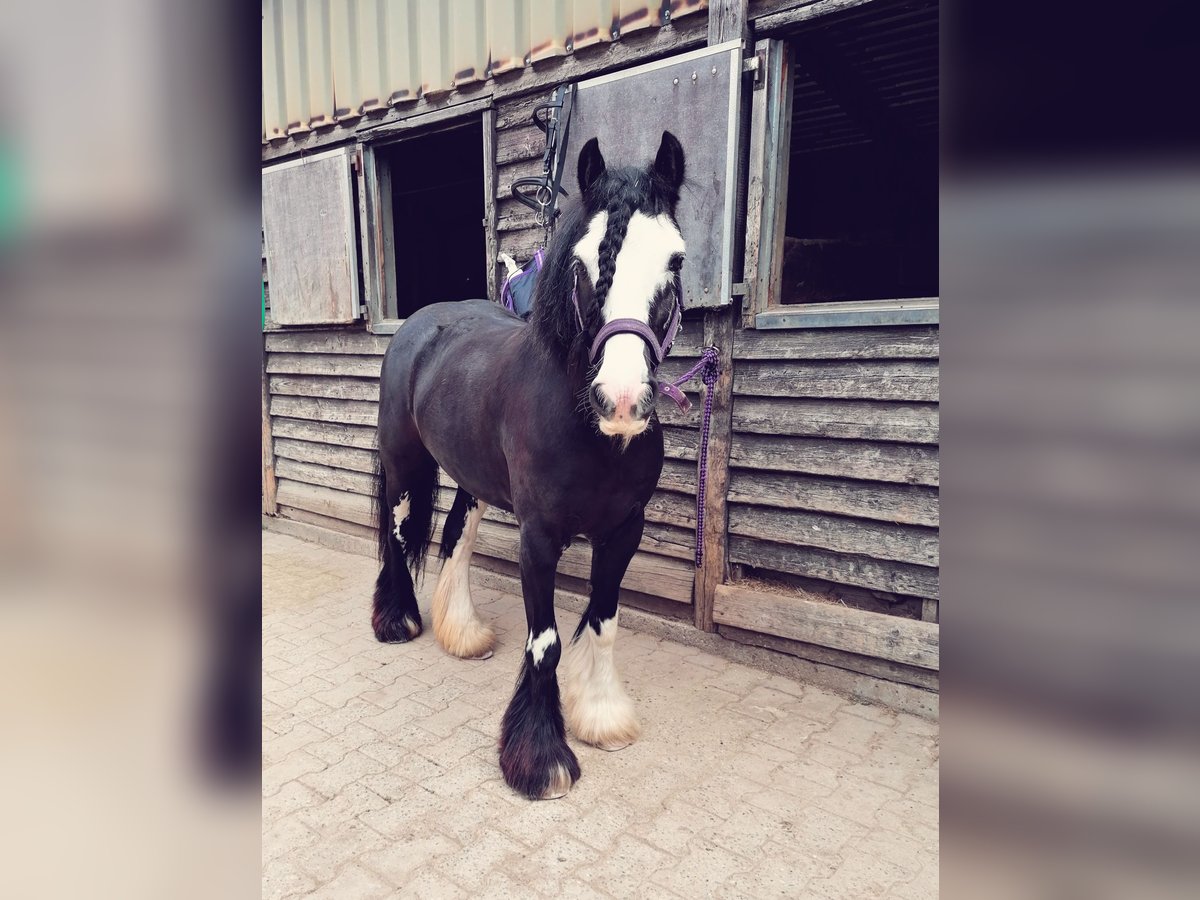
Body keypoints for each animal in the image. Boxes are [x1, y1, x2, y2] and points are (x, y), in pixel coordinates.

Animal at [369, 132, 686, 796]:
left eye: (674, 261)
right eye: (583, 263)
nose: (621, 400)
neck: (590, 432)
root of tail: (420, 324)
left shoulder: (624, 532)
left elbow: (604, 621)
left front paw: (601, 717)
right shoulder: (538, 538)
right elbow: (546, 643)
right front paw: (541, 759)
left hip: (473, 478)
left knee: (455, 537)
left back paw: (462, 633)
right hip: (404, 463)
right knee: (398, 531)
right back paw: (398, 620)